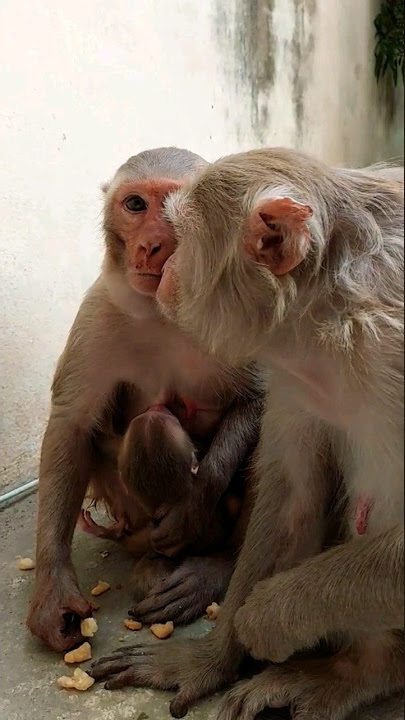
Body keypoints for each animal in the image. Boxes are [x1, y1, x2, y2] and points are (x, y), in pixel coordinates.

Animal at [26, 147, 264, 653]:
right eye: (135, 205)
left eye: (177, 208)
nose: (151, 246)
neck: (163, 310)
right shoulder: (97, 313)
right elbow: (71, 427)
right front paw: (53, 590)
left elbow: (258, 398)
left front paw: (194, 506)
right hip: (133, 518)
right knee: (151, 430)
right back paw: (159, 563)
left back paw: (215, 564)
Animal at [90, 150, 404, 720]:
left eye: (182, 235)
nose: (162, 261)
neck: (334, 310)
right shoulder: (298, 369)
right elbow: (292, 495)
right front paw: (211, 659)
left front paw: (267, 620)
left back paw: (364, 670)